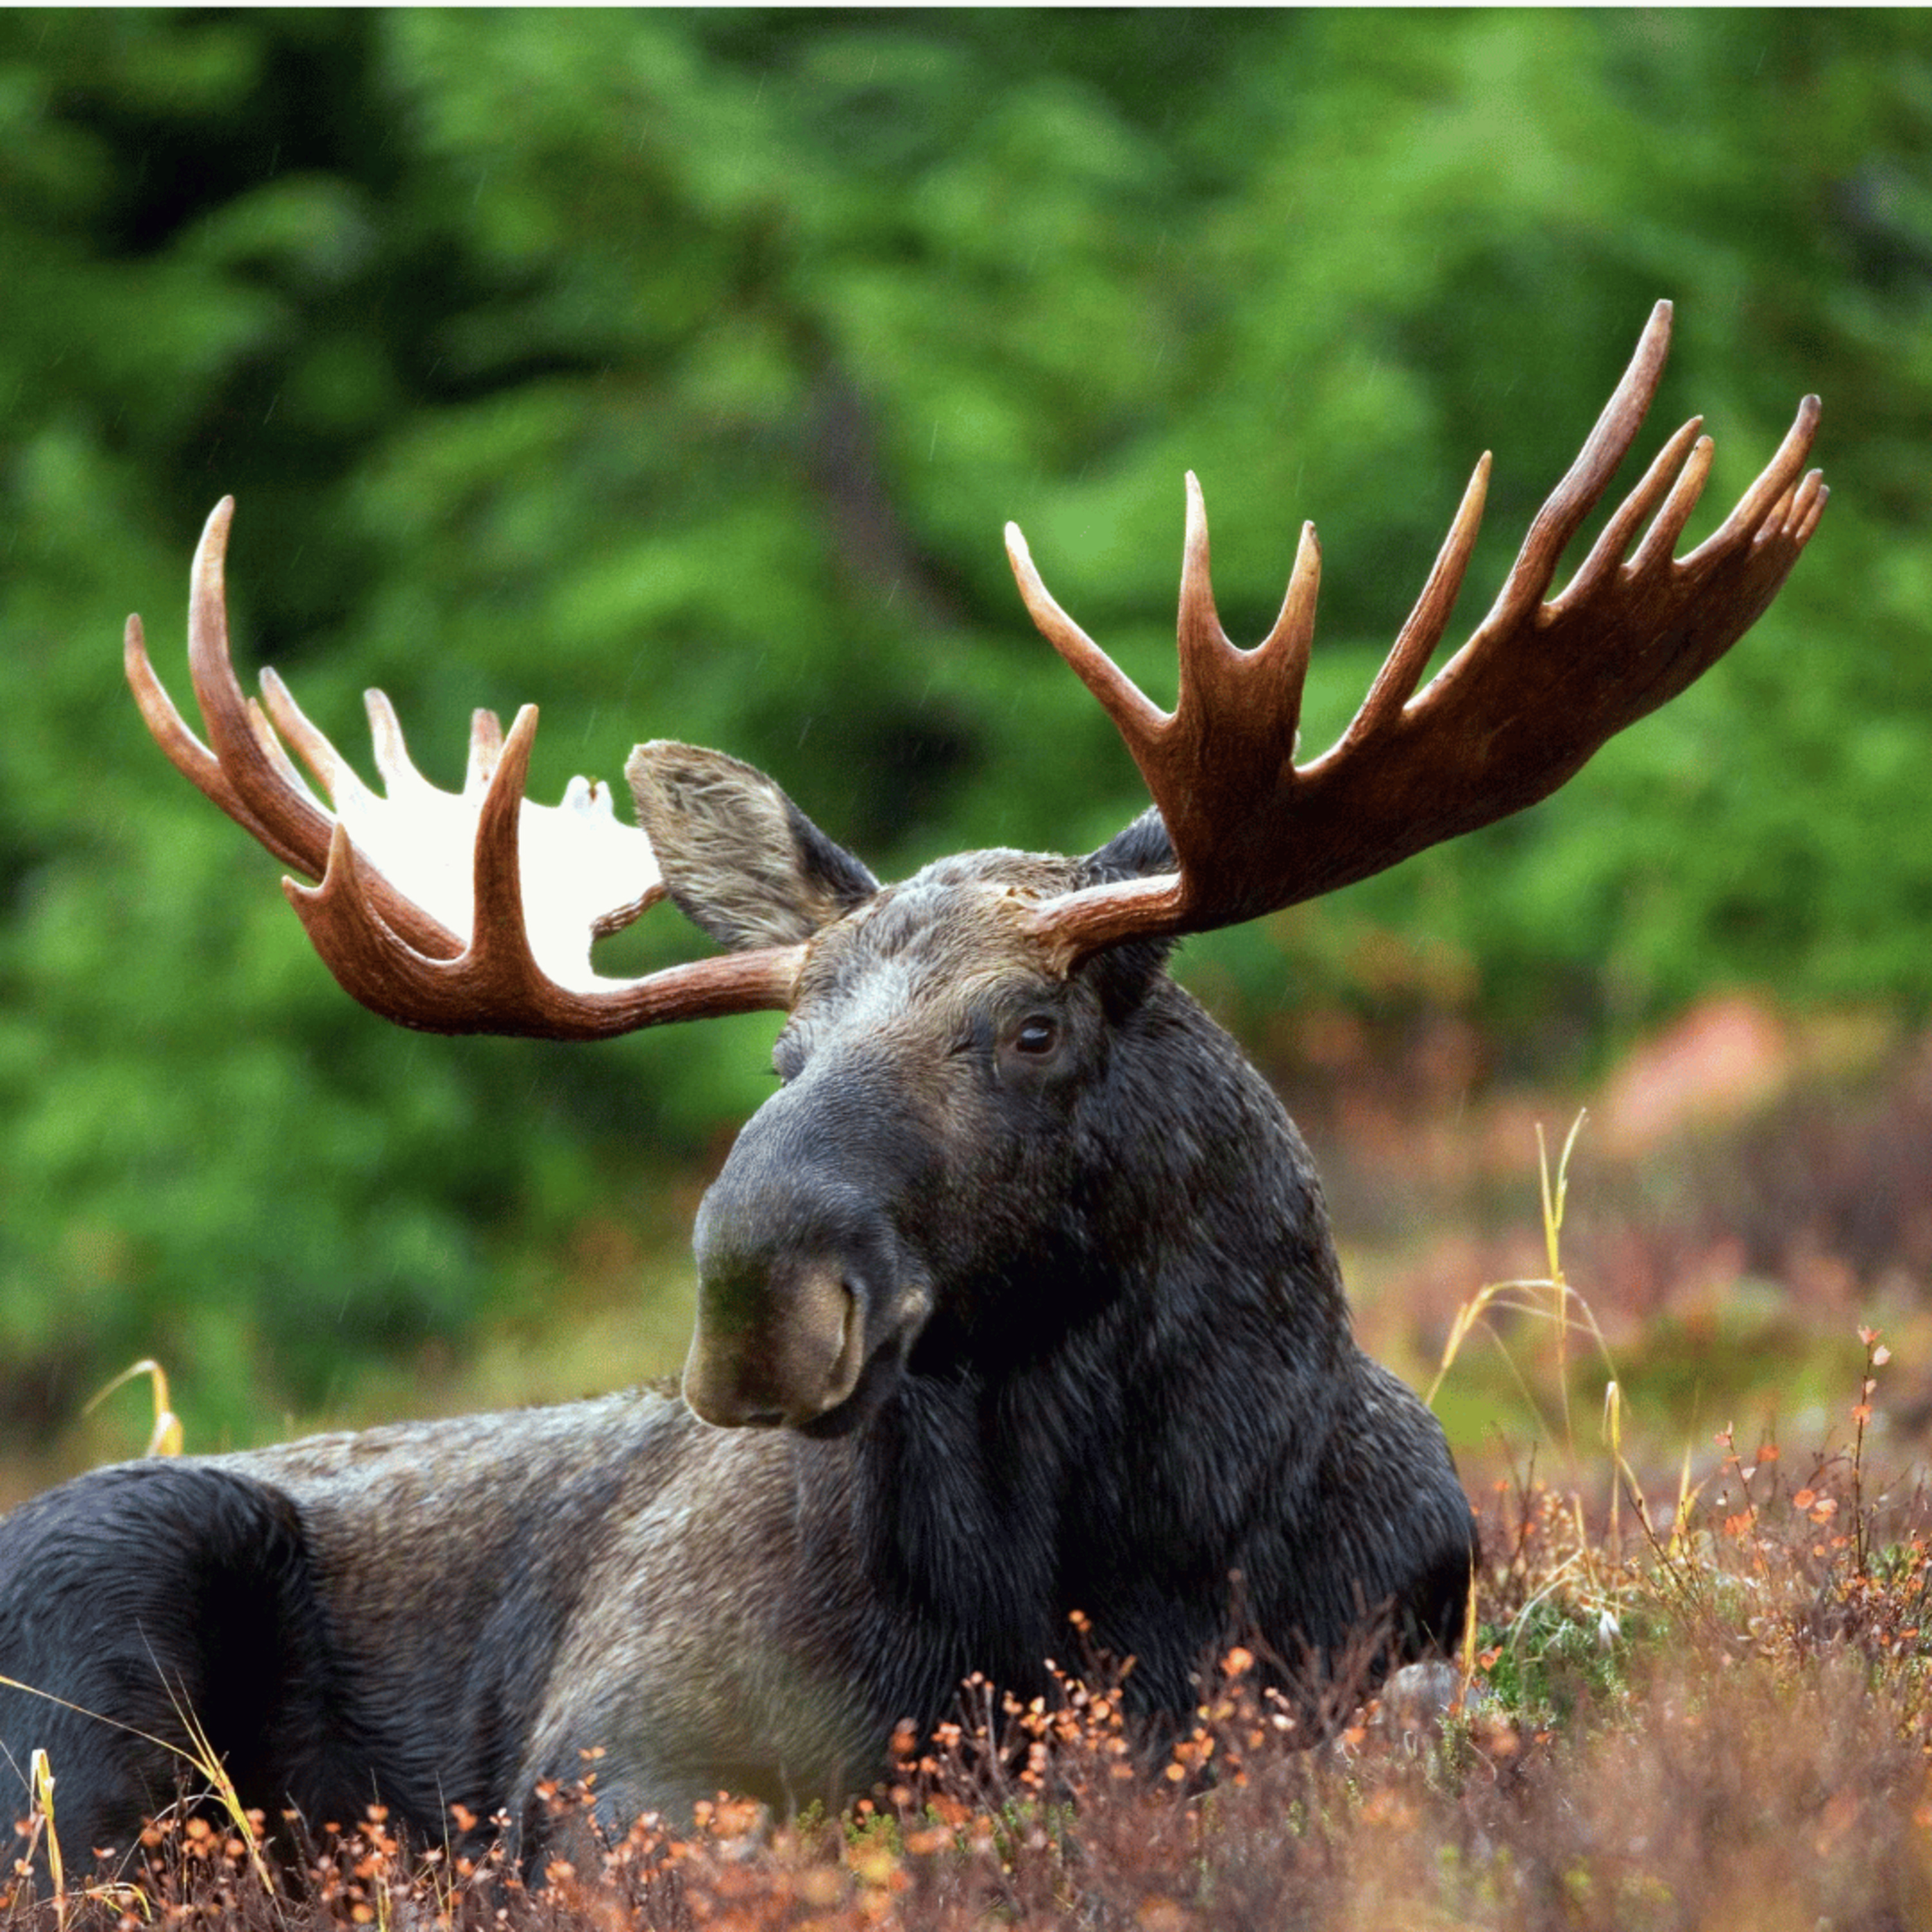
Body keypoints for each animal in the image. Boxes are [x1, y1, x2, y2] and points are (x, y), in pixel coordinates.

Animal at [0, 302, 1823, 1872]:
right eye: (782, 1053)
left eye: (1032, 1030)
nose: (756, 1298)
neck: (1112, 1568)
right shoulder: (615, 1744)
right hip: (102, 1603)